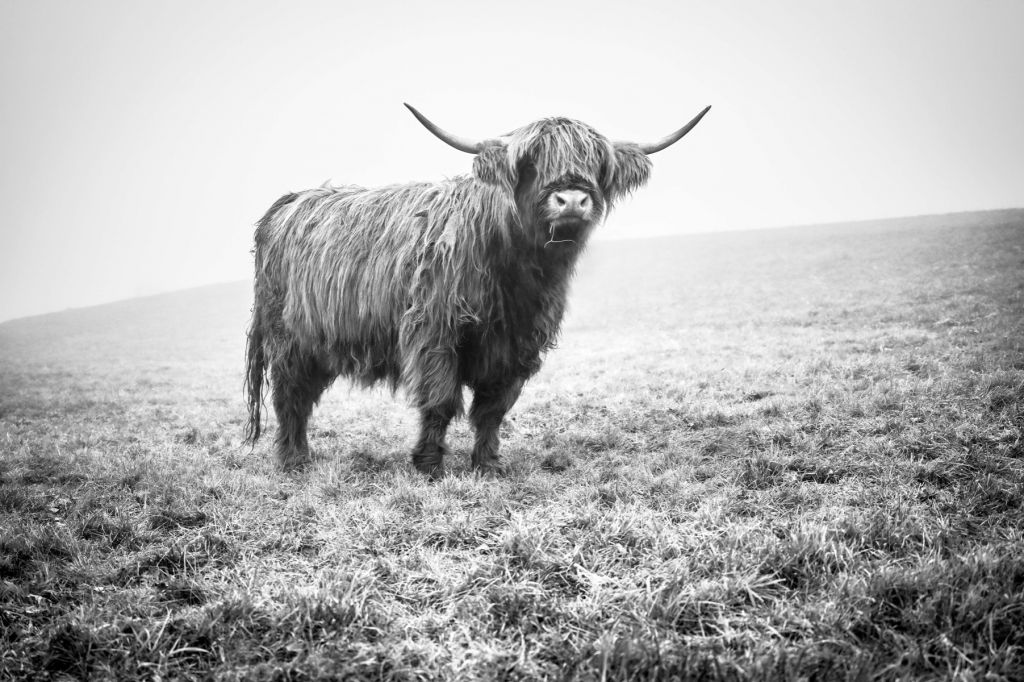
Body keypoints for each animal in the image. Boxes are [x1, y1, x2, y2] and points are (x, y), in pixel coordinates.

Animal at [245, 103, 712, 475]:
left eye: (597, 164)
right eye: (531, 162)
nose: (572, 200)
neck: (517, 272)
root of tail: (290, 201)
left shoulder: (517, 345)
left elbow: (492, 410)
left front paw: (487, 464)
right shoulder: (434, 332)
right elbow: (440, 400)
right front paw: (429, 465)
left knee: (302, 396)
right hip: (289, 340)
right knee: (290, 397)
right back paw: (293, 461)